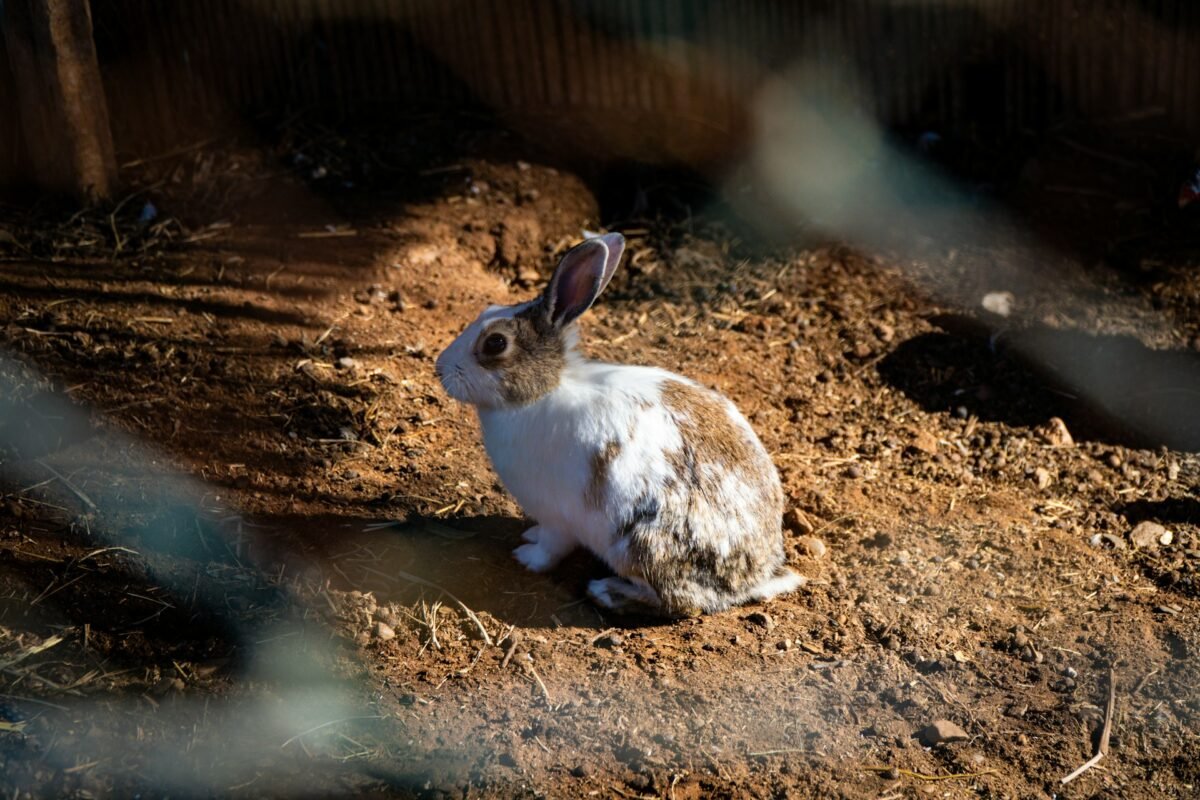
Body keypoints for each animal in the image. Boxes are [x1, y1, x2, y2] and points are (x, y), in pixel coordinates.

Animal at [434, 232, 802, 615]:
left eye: (495, 343)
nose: (440, 368)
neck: (540, 393)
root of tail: (755, 578)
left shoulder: (558, 518)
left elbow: (550, 548)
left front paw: (527, 557)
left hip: (637, 546)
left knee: (677, 602)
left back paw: (606, 591)